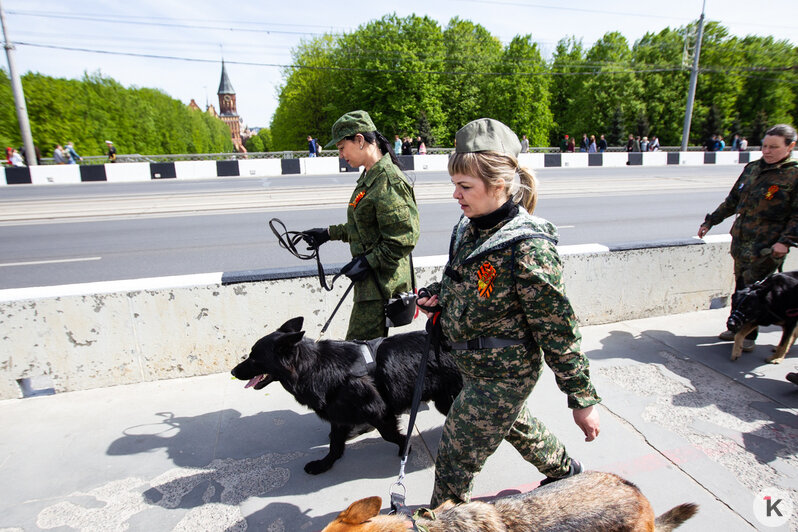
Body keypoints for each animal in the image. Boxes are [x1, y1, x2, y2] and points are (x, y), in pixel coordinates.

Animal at [231, 316, 462, 474]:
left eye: (254, 357)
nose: (233, 372)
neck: (314, 367)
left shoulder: (380, 411)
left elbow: (388, 434)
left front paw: (405, 445)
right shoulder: (338, 415)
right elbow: (335, 444)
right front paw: (325, 464)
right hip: (444, 399)